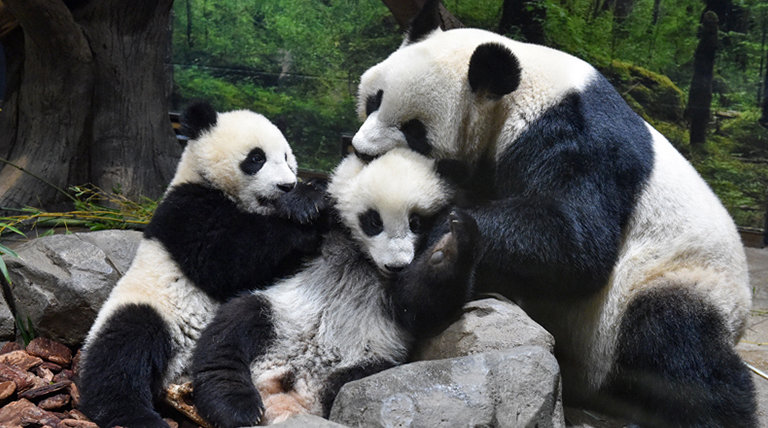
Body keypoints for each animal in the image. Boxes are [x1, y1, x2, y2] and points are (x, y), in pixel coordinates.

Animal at [79, 101, 328, 428]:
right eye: (256, 158)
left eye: (287, 157)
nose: (287, 186)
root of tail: (176, 376)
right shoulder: (185, 209)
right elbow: (228, 255)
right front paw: (308, 205)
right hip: (149, 308)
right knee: (122, 351)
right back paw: (134, 413)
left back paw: (235, 404)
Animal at [190, 148, 476, 428]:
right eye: (373, 221)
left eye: (416, 223)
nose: (396, 265)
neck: (363, 259)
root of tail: (290, 391)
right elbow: (241, 262)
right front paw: (306, 202)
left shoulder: (394, 297)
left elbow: (418, 303)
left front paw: (451, 243)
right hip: (280, 314)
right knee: (230, 332)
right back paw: (237, 408)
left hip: (371, 357)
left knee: (359, 386)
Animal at [352, 1, 756, 426]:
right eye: (375, 99)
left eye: (415, 131)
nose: (361, 149)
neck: (520, 90)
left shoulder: (577, 140)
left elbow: (574, 242)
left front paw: (440, 232)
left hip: (677, 275)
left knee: (677, 345)